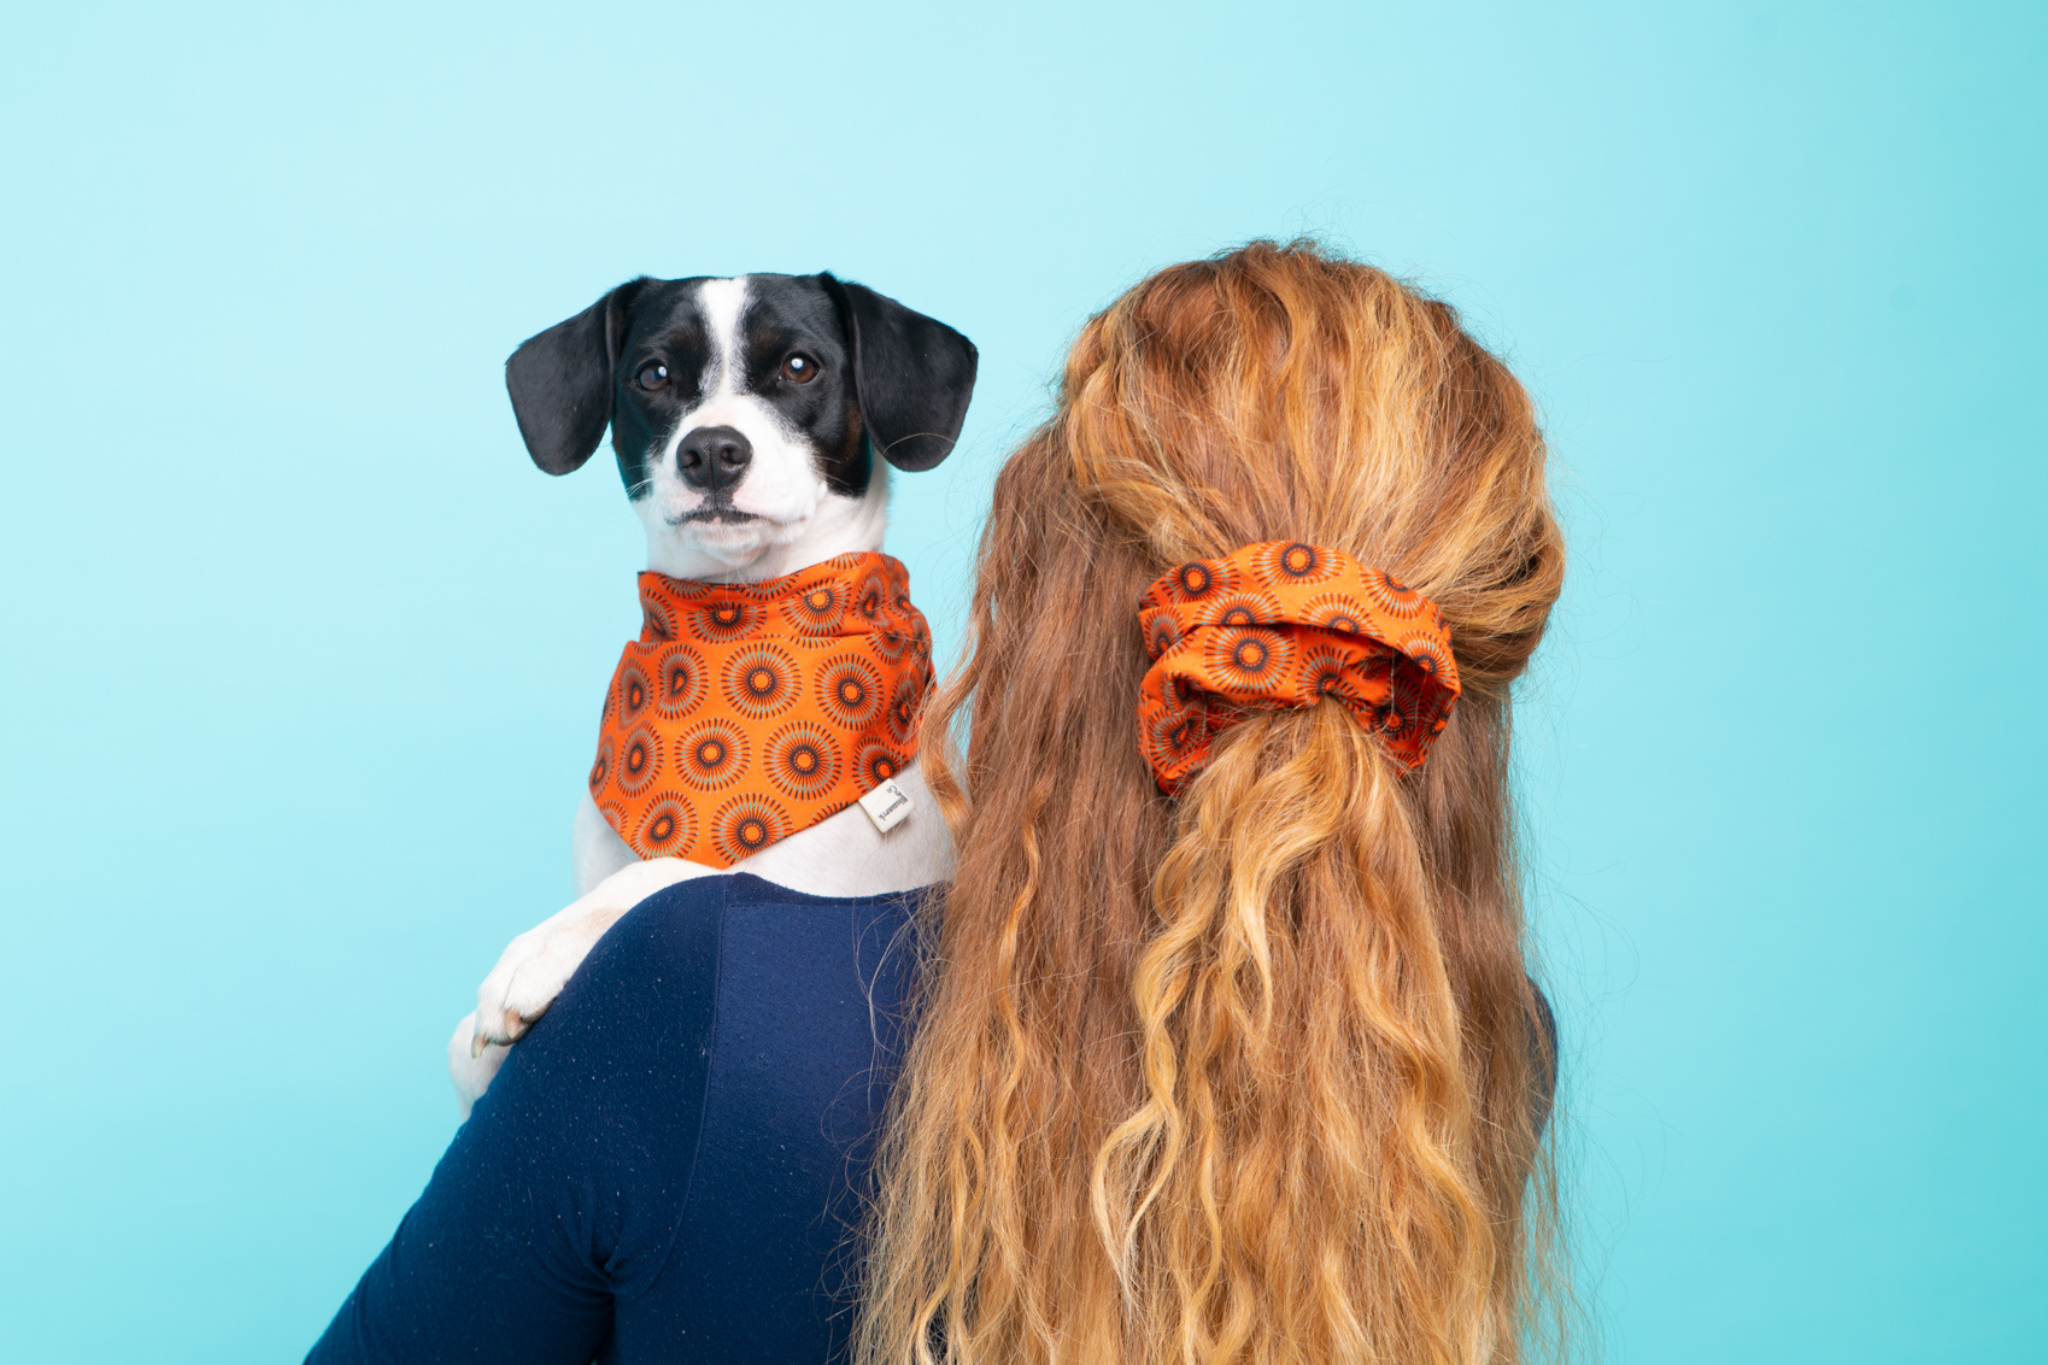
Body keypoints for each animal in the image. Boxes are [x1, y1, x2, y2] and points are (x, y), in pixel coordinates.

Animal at [452, 274, 978, 1113]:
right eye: (654, 374)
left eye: (799, 366)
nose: (711, 452)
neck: (731, 638)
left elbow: (673, 871)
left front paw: (538, 950)